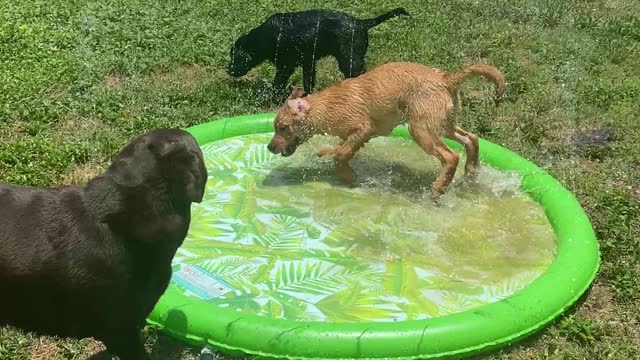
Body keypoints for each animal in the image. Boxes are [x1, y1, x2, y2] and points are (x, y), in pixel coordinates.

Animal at [228, 7, 410, 100]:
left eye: (235, 57)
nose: (228, 70)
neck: (263, 38)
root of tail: (362, 23)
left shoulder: (286, 64)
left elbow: (278, 82)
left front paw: (272, 97)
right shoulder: (308, 61)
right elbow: (308, 80)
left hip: (349, 59)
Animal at [266, 60, 504, 198]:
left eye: (282, 127)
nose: (269, 147)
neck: (323, 106)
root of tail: (446, 78)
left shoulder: (362, 127)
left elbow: (342, 154)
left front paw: (348, 176)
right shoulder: (361, 135)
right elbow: (342, 148)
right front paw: (331, 156)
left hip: (420, 128)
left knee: (450, 155)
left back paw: (438, 189)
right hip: (442, 123)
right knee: (471, 138)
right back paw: (471, 171)